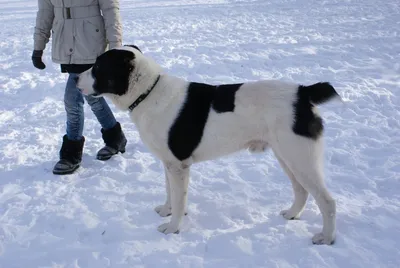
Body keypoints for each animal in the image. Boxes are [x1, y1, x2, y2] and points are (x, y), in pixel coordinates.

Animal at [77, 44, 340, 245]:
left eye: (98, 67)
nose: (76, 78)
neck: (149, 93)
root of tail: (303, 93)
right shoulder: (168, 162)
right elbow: (170, 192)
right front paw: (167, 211)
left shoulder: (179, 166)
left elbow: (179, 198)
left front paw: (172, 227)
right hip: (286, 156)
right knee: (301, 190)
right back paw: (292, 214)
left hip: (300, 157)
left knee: (327, 201)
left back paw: (326, 238)